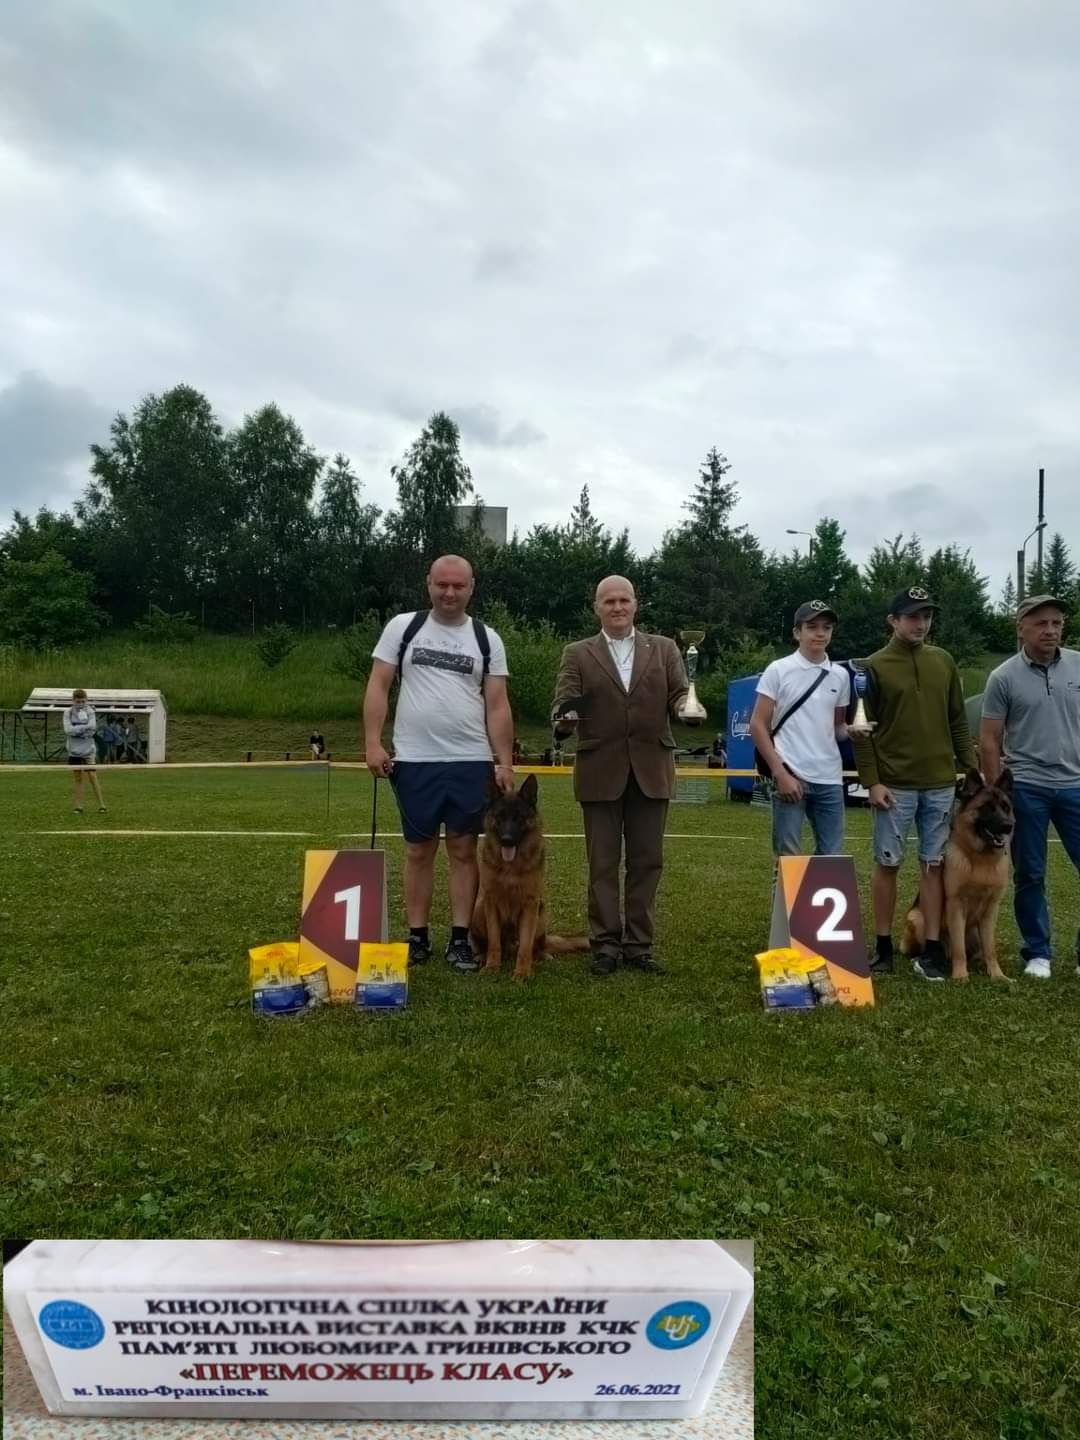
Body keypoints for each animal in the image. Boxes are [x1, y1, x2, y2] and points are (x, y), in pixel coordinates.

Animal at [469, 777, 587, 979]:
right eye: (500, 816)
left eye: (518, 817)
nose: (507, 840)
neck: (511, 866)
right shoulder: (491, 903)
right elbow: (494, 942)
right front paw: (492, 967)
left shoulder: (530, 905)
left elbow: (525, 946)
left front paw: (522, 973)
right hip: (479, 910)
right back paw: (482, 956)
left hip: (541, 913)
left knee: (535, 946)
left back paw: (540, 955)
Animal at [904, 766, 1013, 979]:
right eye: (987, 807)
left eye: (1005, 807)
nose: (1007, 826)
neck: (980, 860)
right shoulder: (956, 905)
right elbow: (958, 948)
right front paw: (961, 976)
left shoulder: (991, 910)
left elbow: (990, 949)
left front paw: (997, 975)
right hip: (917, 919)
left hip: (974, 932)